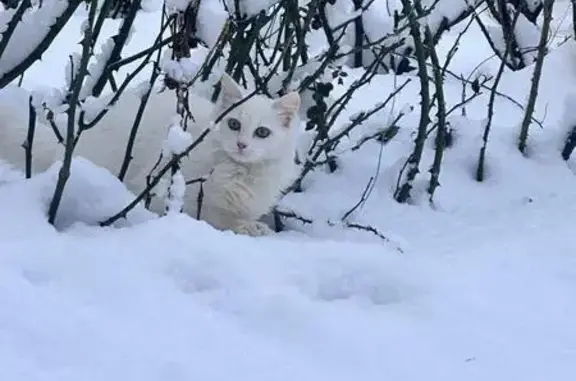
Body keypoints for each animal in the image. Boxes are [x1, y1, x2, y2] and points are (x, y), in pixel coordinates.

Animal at [1, 73, 302, 235]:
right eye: (234, 124)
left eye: (262, 132)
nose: (241, 145)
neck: (238, 172)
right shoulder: (166, 196)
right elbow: (214, 217)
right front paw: (250, 228)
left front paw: (252, 225)